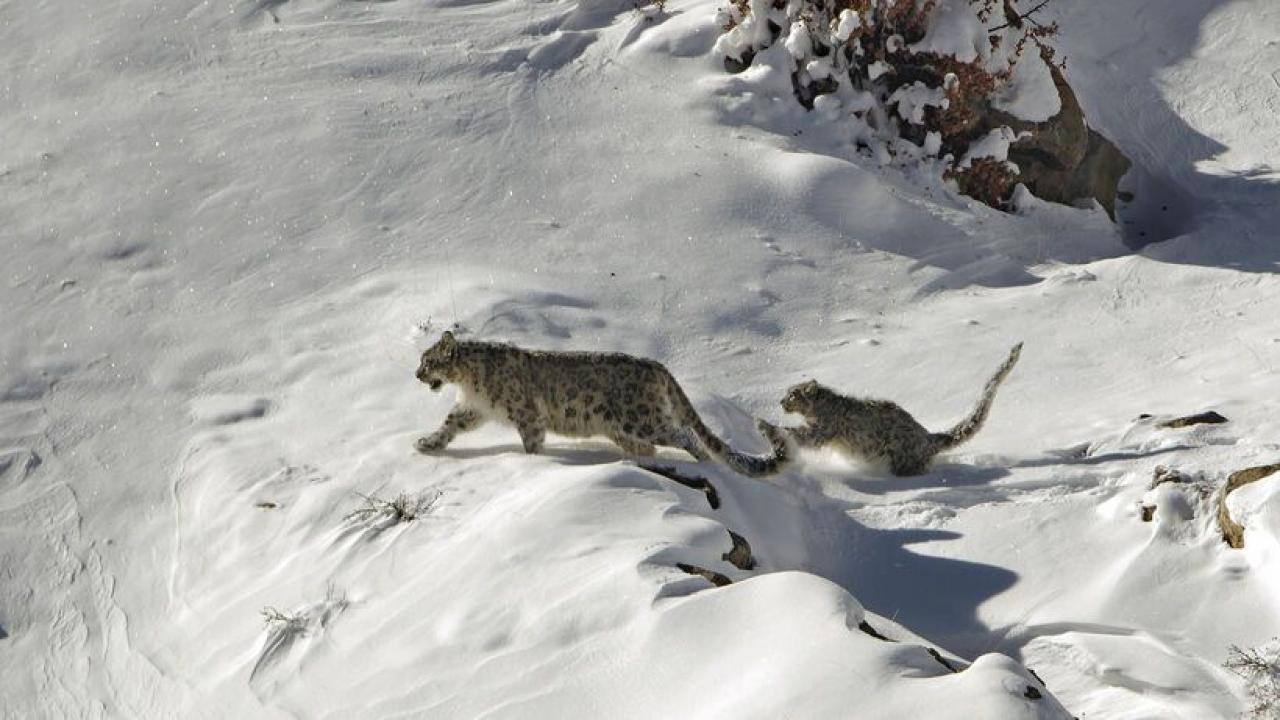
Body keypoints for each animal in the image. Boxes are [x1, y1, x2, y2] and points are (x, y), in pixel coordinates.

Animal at [414, 330, 788, 476]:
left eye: (428, 361)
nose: (416, 374)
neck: (469, 384)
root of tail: (658, 366)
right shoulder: (472, 409)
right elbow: (450, 424)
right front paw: (427, 443)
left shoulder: (526, 415)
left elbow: (532, 442)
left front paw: (534, 463)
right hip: (624, 429)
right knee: (650, 447)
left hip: (641, 419)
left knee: (685, 435)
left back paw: (705, 465)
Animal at [773, 343, 1024, 476]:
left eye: (792, 394)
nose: (781, 401)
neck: (816, 411)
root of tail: (927, 437)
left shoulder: (820, 430)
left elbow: (802, 435)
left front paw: (777, 430)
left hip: (902, 459)